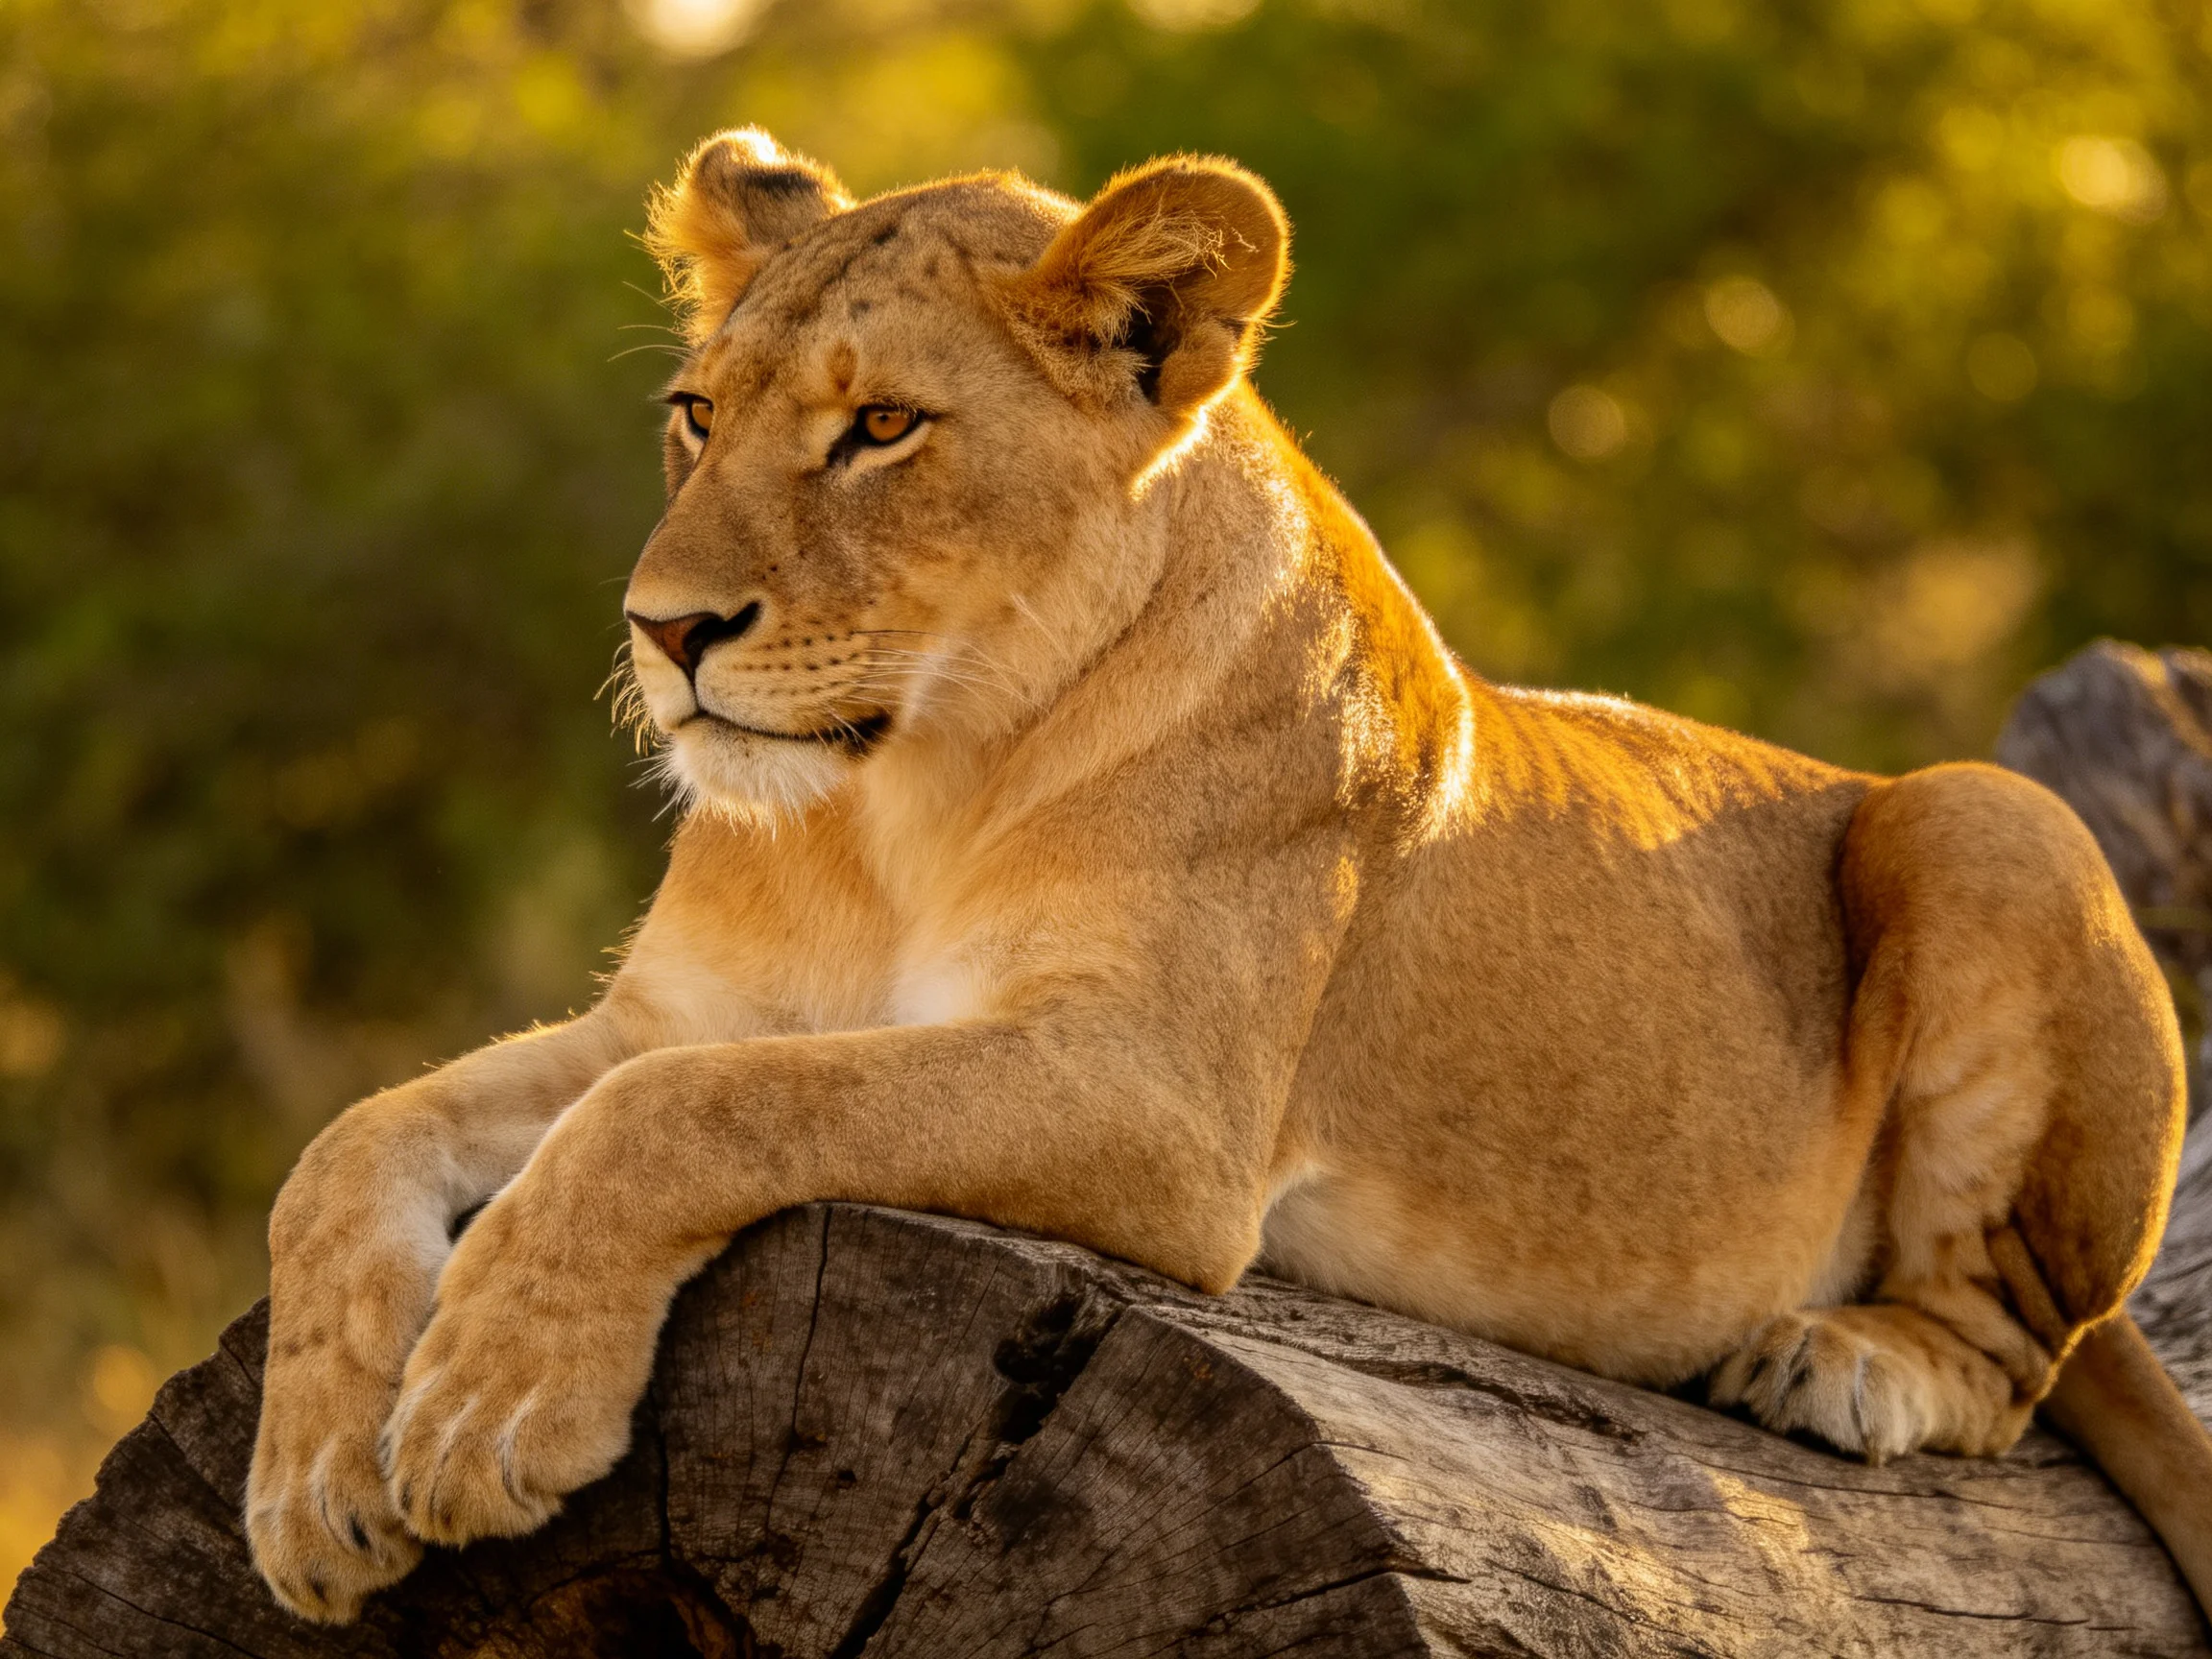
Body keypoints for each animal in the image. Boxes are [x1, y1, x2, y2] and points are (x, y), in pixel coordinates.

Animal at [245, 128, 2212, 1625]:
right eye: (693, 414)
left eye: (881, 429)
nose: (665, 631)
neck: (898, 803)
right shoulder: (675, 1009)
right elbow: (355, 1137)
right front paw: (314, 1483)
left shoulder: (1158, 1103)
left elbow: (690, 1113)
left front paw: (490, 1403)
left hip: (1981, 818)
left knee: (2019, 1353)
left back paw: (1844, 1360)